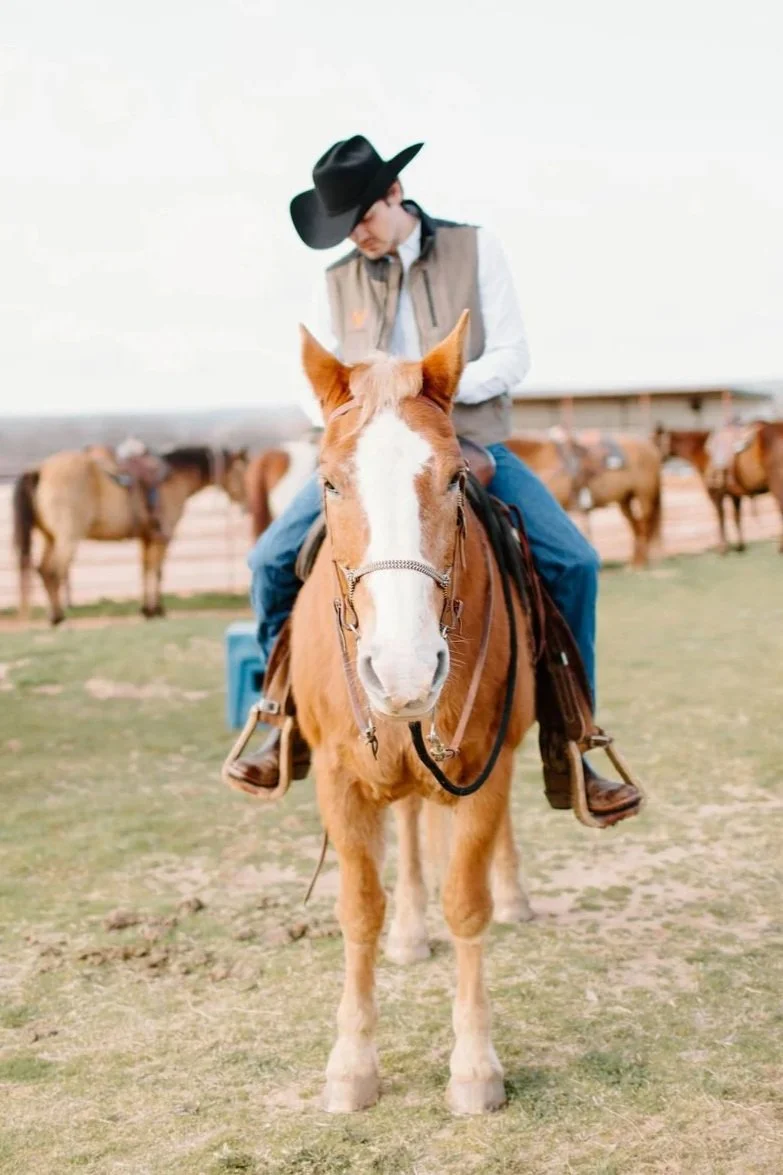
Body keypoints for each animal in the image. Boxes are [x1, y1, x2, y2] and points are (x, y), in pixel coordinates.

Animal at [13, 446, 248, 624]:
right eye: (240, 472)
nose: (246, 506)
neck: (175, 478)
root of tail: (40, 469)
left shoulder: (146, 537)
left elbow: (145, 570)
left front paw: (146, 610)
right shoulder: (163, 537)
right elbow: (157, 571)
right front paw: (157, 609)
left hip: (50, 538)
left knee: (43, 570)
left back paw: (54, 616)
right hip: (68, 537)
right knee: (54, 571)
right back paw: (60, 616)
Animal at [289, 313, 536, 1114]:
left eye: (455, 477)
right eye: (329, 481)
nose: (402, 672)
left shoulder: (485, 770)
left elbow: (467, 903)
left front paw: (475, 1067)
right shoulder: (338, 778)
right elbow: (358, 908)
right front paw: (351, 1065)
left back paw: (514, 895)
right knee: (409, 822)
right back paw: (406, 932)